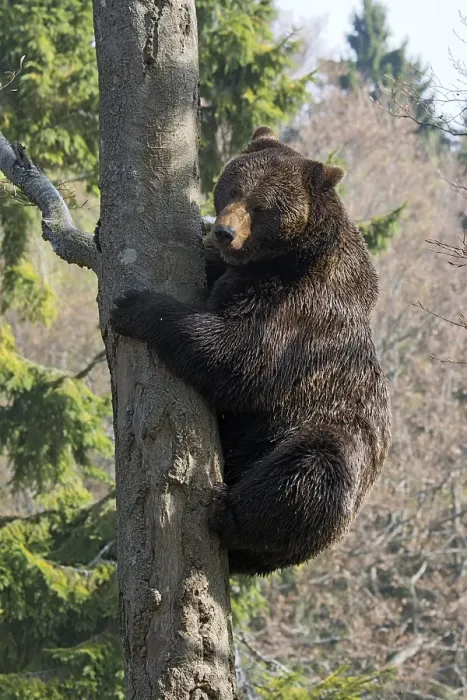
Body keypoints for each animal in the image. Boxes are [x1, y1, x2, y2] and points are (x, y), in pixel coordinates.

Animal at [110, 125, 391, 576]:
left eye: (262, 207)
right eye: (233, 187)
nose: (224, 232)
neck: (284, 260)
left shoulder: (302, 314)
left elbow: (240, 358)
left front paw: (134, 306)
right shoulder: (234, 272)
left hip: (328, 437)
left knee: (312, 473)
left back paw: (229, 512)